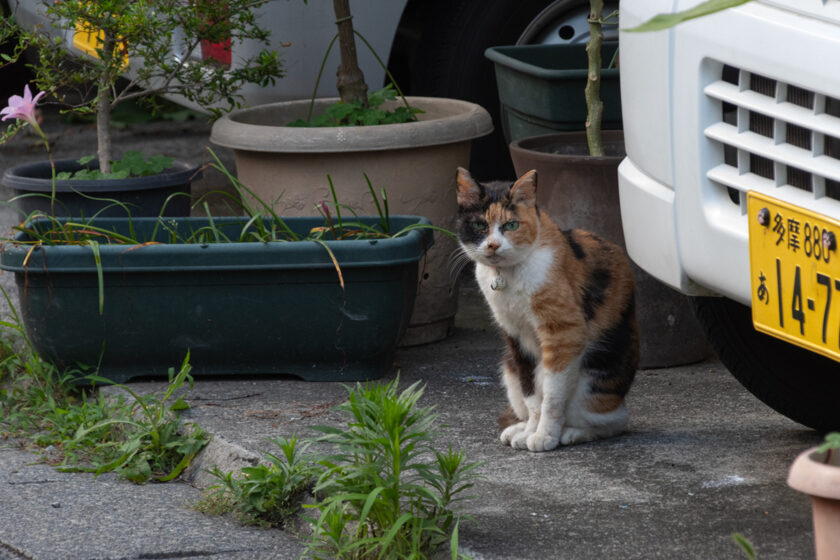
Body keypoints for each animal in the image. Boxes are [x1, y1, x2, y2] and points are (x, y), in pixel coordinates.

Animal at [456, 168, 640, 452]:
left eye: (511, 225)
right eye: (479, 226)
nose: (493, 245)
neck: (509, 277)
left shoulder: (563, 333)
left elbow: (551, 396)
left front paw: (544, 436)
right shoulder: (515, 336)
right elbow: (531, 393)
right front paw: (530, 431)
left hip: (591, 379)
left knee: (614, 421)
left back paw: (572, 433)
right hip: (507, 368)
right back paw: (518, 429)